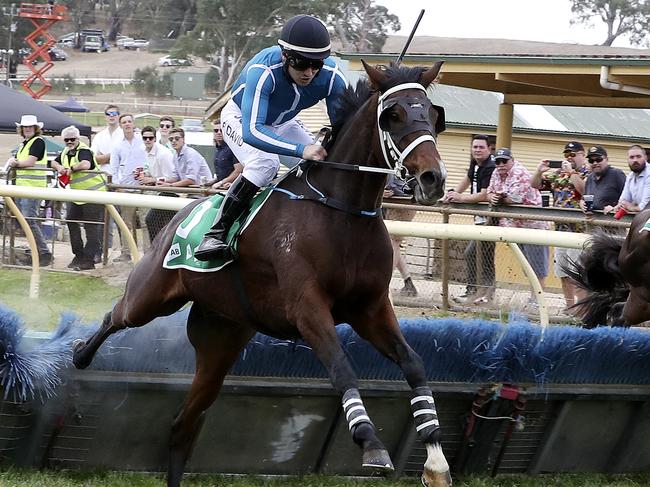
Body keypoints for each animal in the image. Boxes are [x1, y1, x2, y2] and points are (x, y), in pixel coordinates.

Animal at [71, 62, 448, 487]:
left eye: (433, 115)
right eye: (393, 115)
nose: (433, 179)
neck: (341, 212)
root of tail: (180, 215)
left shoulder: (370, 309)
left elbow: (413, 363)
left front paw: (435, 457)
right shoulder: (306, 308)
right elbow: (341, 367)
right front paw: (370, 442)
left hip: (221, 340)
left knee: (182, 426)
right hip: (151, 297)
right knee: (116, 316)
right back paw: (80, 354)